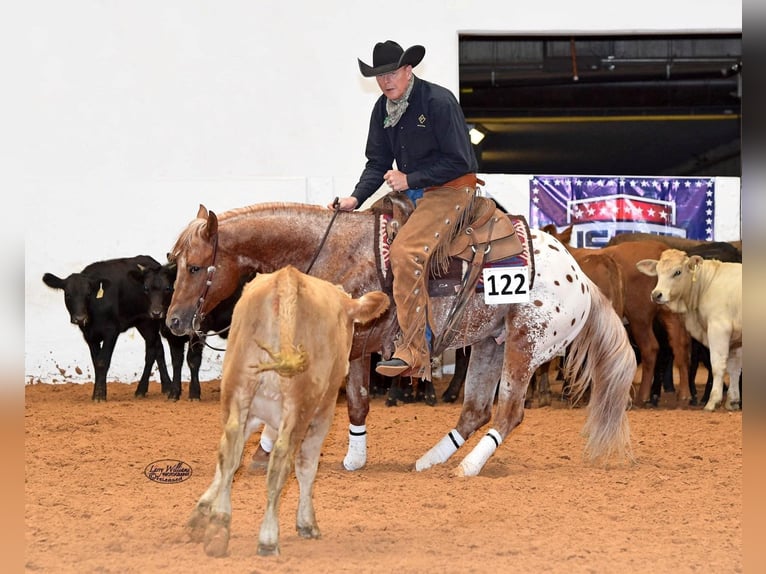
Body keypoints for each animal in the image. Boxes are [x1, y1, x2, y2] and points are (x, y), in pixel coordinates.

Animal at [44, 255, 174, 400]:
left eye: (88, 294)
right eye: (67, 294)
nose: (80, 318)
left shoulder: (111, 331)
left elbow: (102, 361)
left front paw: (99, 396)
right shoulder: (89, 335)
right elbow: (96, 362)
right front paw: (99, 392)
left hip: (149, 321)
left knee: (151, 351)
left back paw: (142, 389)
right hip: (142, 323)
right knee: (158, 348)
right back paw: (165, 387)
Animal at [166, 202, 636, 476]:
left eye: (195, 267)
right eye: (173, 263)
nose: (172, 321)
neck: (335, 250)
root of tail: (580, 278)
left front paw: (265, 451)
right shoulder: (352, 349)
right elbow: (356, 401)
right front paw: (352, 458)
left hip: (523, 344)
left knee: (508, 413)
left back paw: (468, 467)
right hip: (489, 343)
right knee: (475, 410)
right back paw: (431, 460)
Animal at [185, 268, 390, 560]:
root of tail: (287, 280)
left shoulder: (255, 416)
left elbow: (228, 462)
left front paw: (201, 515)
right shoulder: (321, 415)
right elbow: (306, 467)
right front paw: (306, 523)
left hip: (238, 389)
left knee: (229, 450)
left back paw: (219, 528)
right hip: (301, 406)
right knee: (282, 462)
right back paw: (268, 538)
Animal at [636, 250, 744, 412]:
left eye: (677, 272)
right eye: (658, 271)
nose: (656, 294)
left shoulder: (719, 329)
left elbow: (717, 366)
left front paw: (713, 401)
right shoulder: (735, 339)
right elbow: (734, 368)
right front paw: (732, 401)